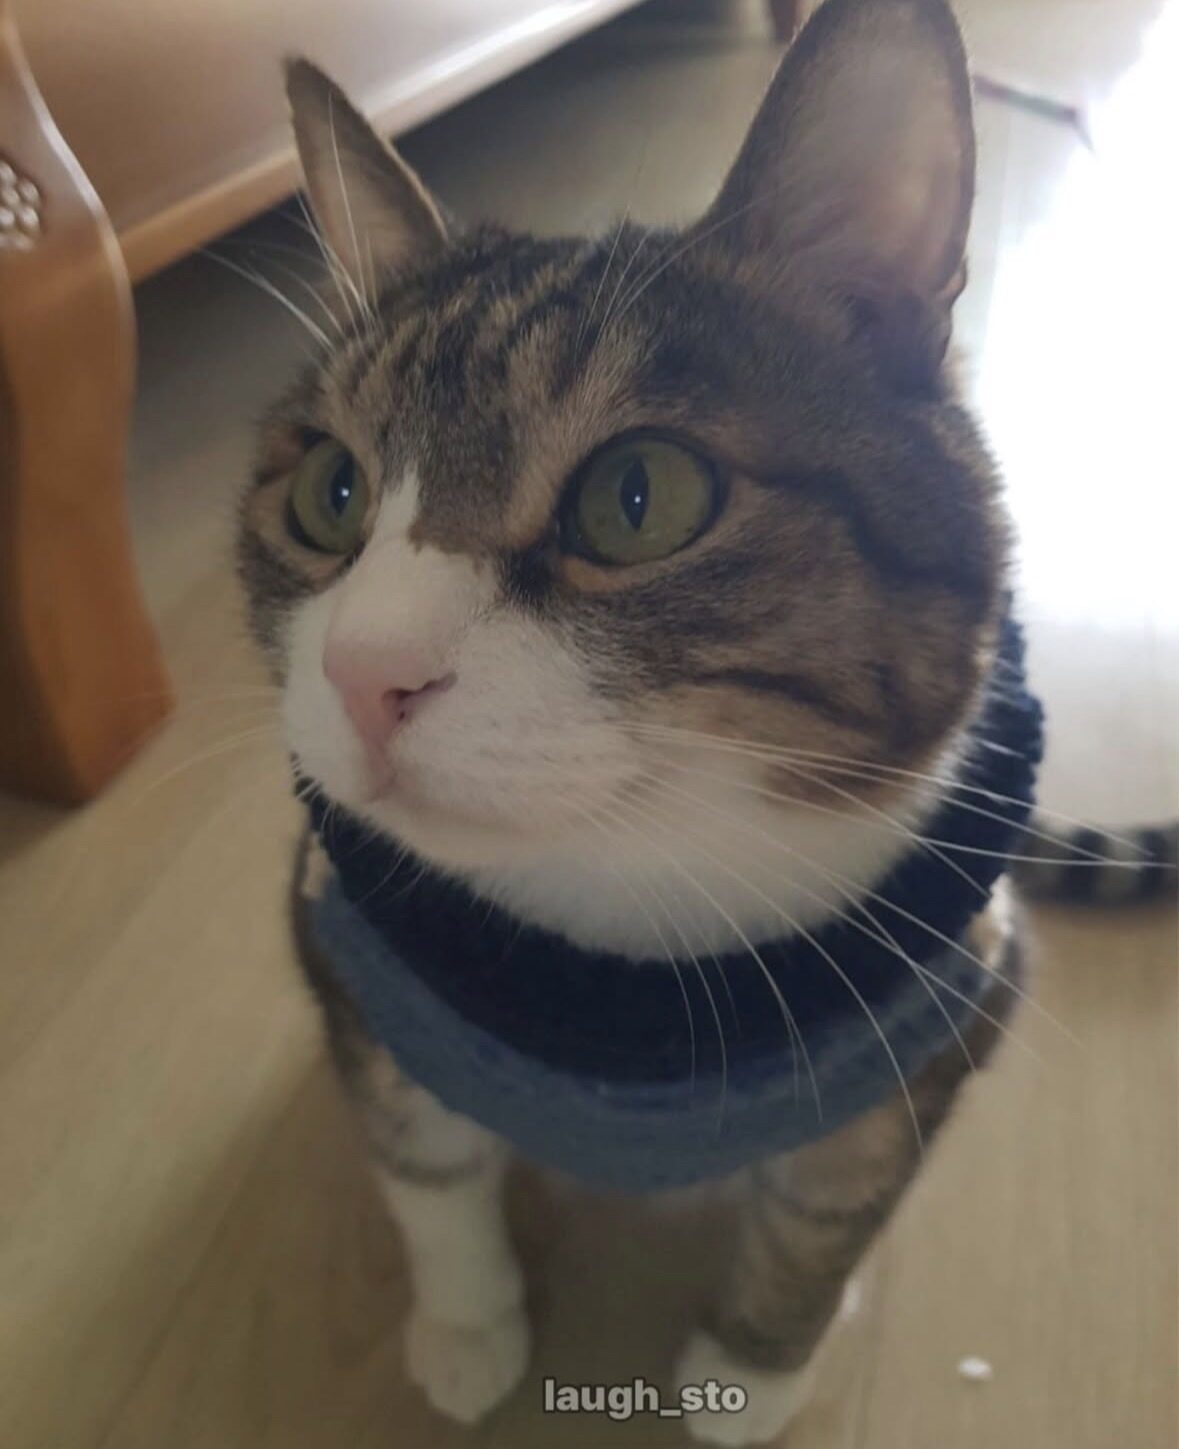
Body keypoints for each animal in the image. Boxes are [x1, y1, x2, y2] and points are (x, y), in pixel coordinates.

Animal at [236, 0, 1171, 1441]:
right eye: (329, 494)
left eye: (638, 496)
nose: (363, 669)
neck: (626, 942)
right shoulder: (345, 948)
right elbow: (426, 1166)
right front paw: (466, 1330)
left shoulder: (949, 1006)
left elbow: (832, 1210)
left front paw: (750, 1371)